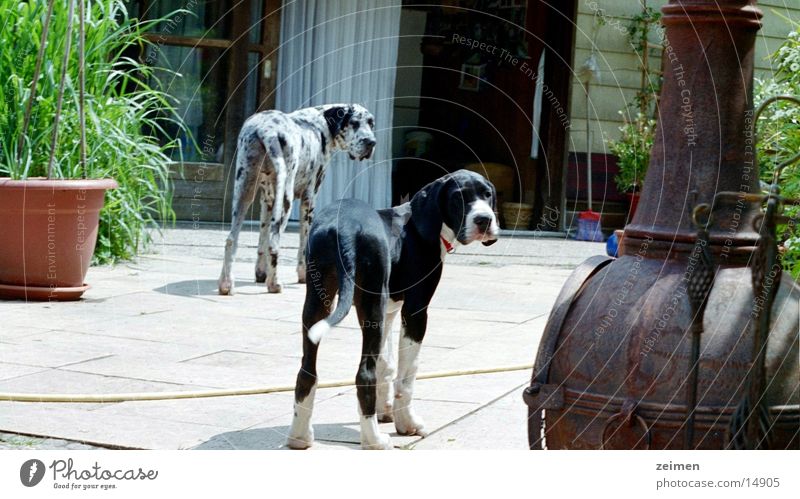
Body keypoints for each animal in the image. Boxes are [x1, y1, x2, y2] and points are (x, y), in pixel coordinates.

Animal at [214, 103, 374, 294]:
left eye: (371, 123)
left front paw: (261, 273)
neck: (320, 125)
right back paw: (274, 284)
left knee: (231, 240)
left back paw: (226, 284)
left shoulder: (267, 201)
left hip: (243, 194)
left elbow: (262, 241)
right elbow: (303, 245)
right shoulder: (308, 200)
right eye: (354, 123)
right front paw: (303, 275)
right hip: (285, 202)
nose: (371, 142)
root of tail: (266, 129)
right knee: (274, 244)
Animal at [288, 170, 500, 452]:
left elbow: (385, 365)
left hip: (318, 304)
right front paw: (406, 423)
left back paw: (300, 436)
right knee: (364, 374)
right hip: (371, 305)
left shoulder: (386, 312)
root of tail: (344, 230)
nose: (484, 220)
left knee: (307, 372)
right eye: (459, 197)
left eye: (487, 194)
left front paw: (384, 410)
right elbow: (406, 374)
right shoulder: (415, 311)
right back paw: (374, 441)